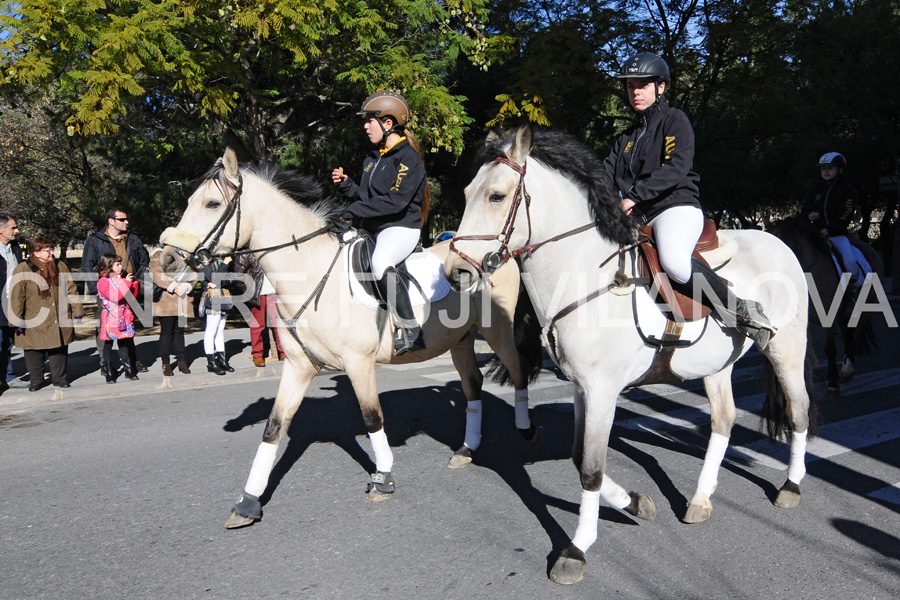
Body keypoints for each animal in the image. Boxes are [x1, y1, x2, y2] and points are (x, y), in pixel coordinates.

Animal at [158, 150, 540, 528]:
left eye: (211, 204)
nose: (167, 258)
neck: (311, 271)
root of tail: (500, 254)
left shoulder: (359, 364)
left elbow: (372, 418)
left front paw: (383, 479)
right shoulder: (298, 367)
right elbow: (274, 427)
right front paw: (247, 503)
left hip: (497, 332)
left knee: (518, 370)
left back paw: (526, 429)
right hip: (459, 340)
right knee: (473, 384)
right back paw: (466, 450)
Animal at [442, 124, 816, 584]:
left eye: (496, 196)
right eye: (466, 193)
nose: (456, 273)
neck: (585, 274)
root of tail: (776, 239)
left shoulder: (603, 391)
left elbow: (590, 469)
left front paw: (577, 549)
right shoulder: (582, 389)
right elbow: (579, 457)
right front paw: (636, 503)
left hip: (786, 349)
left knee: (798, 411)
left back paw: (790, 487)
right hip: (718, 365)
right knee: (724, 419)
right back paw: (700, 498)